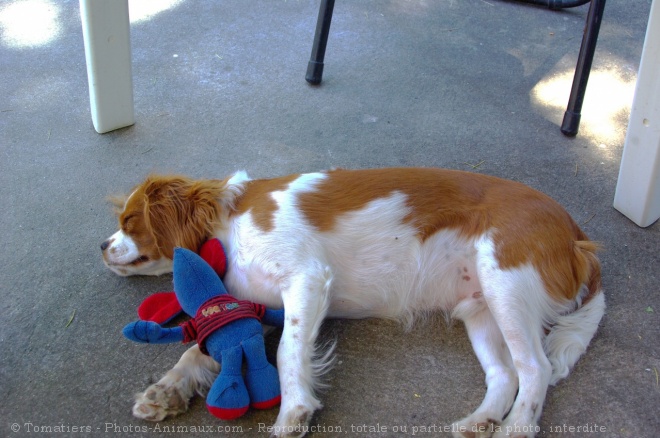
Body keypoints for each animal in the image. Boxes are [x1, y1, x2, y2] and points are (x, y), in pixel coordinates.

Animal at [102, 168, 604, 438]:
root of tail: (575, 231)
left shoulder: (306, 278)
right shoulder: (253, 305)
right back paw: (480, 421)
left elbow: (288, 353)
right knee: (505, 375)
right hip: (481, 308)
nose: (102, 246)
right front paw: (165, 391)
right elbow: (199, 348)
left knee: (534, 369)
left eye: (129, 221)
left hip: (507, 283)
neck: (230, 225)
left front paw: (292, 413)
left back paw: (515, 427)